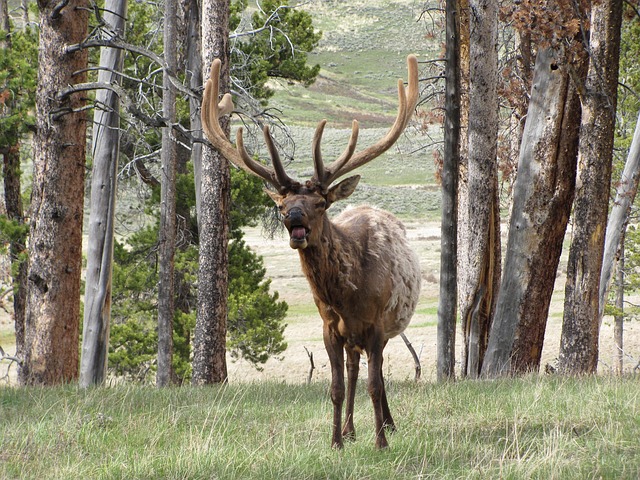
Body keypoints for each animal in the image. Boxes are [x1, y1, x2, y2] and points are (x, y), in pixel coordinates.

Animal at [201, 55, 421, 449]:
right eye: (280, 204)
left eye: (320, 202)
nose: (293, 217)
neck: (349, 294)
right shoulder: (329, 327)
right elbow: (335, 387)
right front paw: (335, 442)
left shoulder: (377, 327)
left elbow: (376, 384)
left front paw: (381, 442)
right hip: (351, 339)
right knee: (352, 370)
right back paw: (350, 430)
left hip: (386, 329)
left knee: (373, 374)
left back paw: (386, 424)